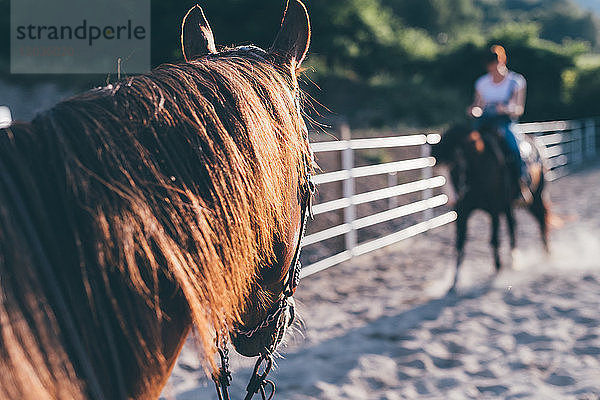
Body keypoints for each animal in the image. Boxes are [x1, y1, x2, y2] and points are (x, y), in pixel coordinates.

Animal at [432, 119, 548, 290]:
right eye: (442, 172)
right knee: (513, 226)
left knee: (541, 218)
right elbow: (460, 244)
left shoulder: (494, 210)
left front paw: (498, 269)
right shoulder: (463, 212)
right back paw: (515, 260)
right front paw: (454, 281)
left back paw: (547, 254)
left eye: (456, 165)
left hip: (535, 197)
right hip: (508, 206)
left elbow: (493, 239)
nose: (454, 199)